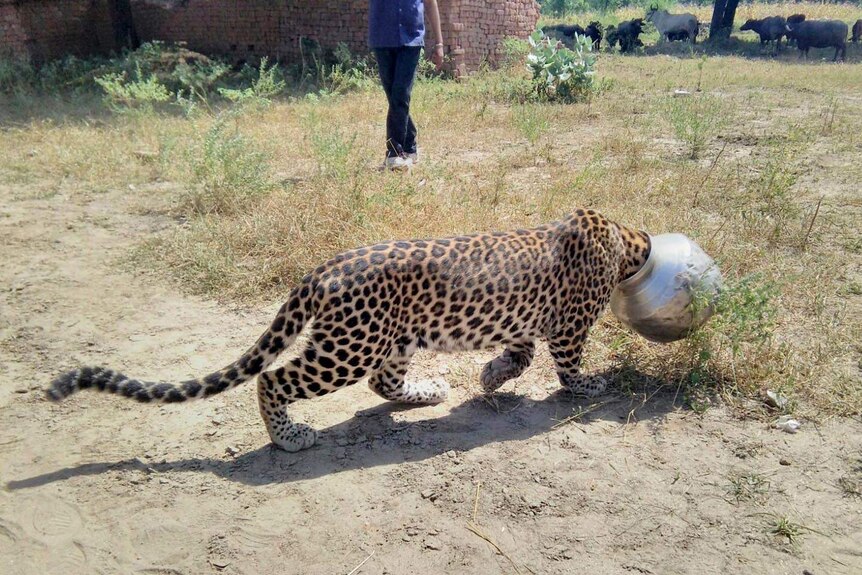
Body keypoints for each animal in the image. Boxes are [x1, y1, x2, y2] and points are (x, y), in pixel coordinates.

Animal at [47, 209, 652, 452]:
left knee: (382, 384)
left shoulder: (526, 323)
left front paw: (488, 375)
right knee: (273, 379)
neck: (623, 236)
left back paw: (430, 391)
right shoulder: (569, 327)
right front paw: (592, 384)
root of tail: (320, 270)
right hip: (348, 347)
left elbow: (519, 354)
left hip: (393, 339)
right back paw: (289, 437)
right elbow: (568, 366)